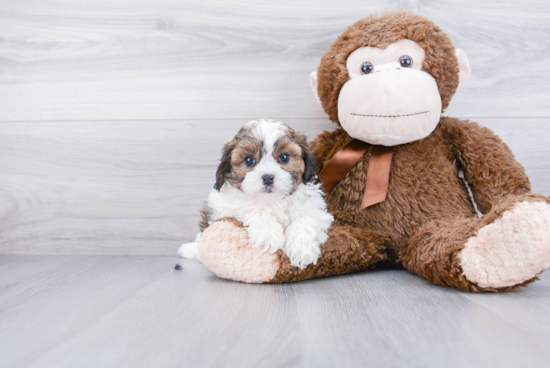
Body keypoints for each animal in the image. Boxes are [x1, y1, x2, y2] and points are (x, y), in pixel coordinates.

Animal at [181, 119, 334, 268]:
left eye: (284, 157)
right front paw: (268, 234)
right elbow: (254, 209)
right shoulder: (226, 207)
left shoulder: (317, 211)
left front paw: (301, 249)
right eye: (249, 160)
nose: (268, 178)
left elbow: (306, 218)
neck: (273, 200)